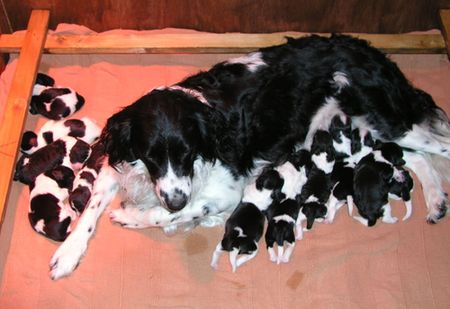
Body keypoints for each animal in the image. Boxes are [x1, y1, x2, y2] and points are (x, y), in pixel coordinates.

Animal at [49, 33, 450, 280]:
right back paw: (435, 202)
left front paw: (132, 216)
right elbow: (90, 210)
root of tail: (372, 53)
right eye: (151, 155)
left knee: (436, 146)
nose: (176, 200)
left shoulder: (224, 191)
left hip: (387, 119)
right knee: (414, 157)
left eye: (188, 152)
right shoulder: (121, 162)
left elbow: (167, 213)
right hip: (372, 131)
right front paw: (68, 253)